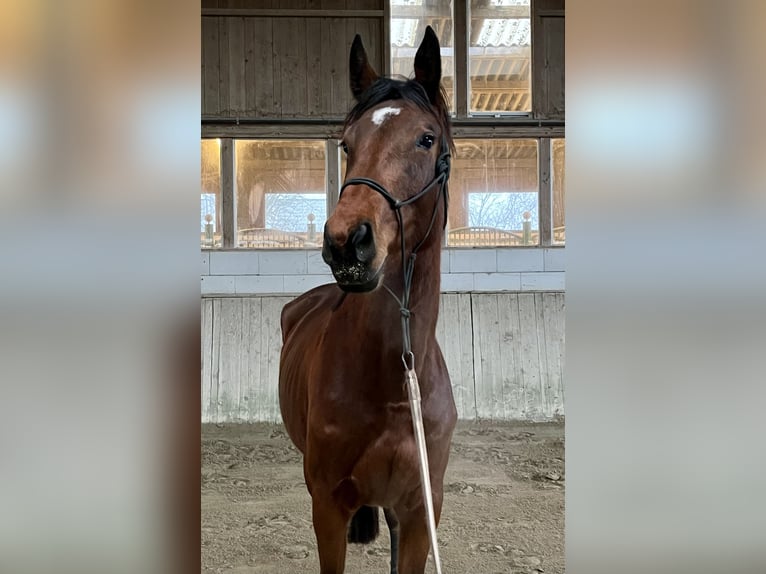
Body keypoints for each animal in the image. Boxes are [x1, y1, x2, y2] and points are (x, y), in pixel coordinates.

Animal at [279, 26, 457, 574]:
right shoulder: (328, 510)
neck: (393, 379)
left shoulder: (420, 513)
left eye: (426, 138)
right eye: (347, 143)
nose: (345, 243)